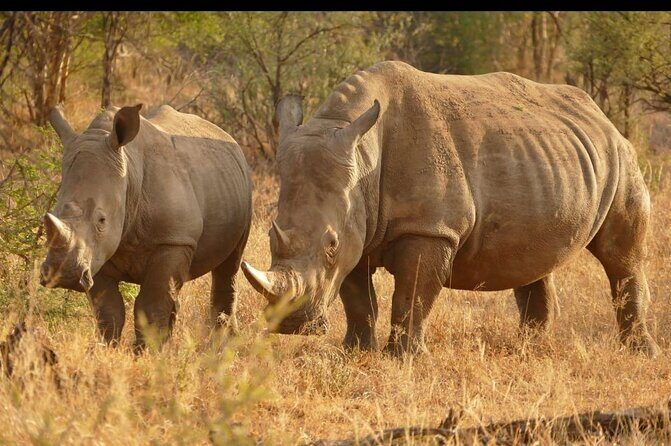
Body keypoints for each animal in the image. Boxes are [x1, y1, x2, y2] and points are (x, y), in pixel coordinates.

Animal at [41, 104, 252, 351]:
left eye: (102, 221)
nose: (63, 275)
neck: (129, 176)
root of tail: (225, 135)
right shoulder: (96, 253)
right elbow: (109, 309)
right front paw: (107, 349)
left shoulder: (173, 240)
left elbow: (151, 305)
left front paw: (146, 353)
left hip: (243, 190)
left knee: (230, 265)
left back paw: (224, 344)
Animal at [242, 61, 660, 357]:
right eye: (271, 235)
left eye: (329, 245)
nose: (291, 325)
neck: (362, 157)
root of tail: (600, 114)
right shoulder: (357, 225)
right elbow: (357, 296)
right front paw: (356, 351)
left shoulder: (430, 227)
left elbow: (411, 294)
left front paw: (404, 357)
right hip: (548, 159)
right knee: (535, 256)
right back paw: (529, 349)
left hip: (621, 155)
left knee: (621, 257)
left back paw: (641, 353)